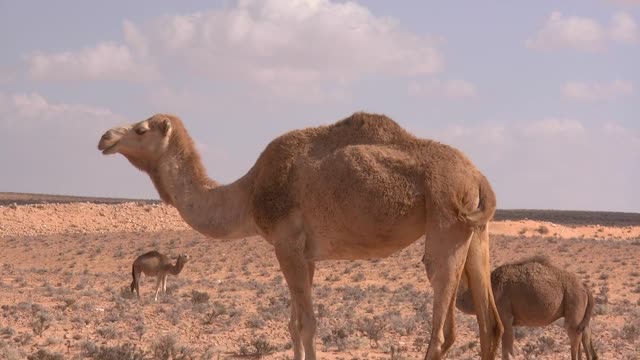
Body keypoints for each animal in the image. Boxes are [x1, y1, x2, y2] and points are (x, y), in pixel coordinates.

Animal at [97, 112, 502, 360]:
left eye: (141, 129)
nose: (104, 137)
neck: (248, 194)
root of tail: (477, 175)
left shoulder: (286, 244)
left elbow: (306, 324)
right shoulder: (304, 255)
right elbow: (295, 325)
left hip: (446, 219)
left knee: (442, 329)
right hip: (476, 230)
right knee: (491, 325)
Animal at [456, 256, 596, 360]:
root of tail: (584, 287)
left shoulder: (505, 317)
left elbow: (507, 351)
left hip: (574, 301)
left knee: (574, 334)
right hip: (582, 313)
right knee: (586, 335)